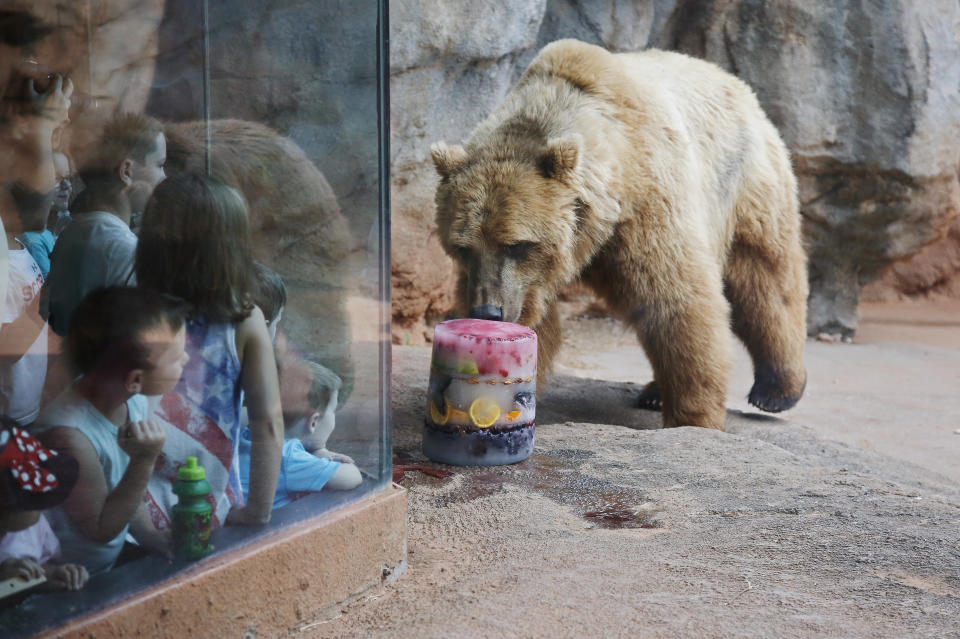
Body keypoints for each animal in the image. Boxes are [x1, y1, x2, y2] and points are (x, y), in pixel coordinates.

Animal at [432, 38, 808, 430]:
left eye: (517, 245)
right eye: (462, 247)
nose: (488, 311)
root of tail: (735, 82)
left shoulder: (648, 203)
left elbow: (676, 300)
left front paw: (693, 418)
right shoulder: (535, 277)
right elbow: (539, 321)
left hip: (744, 183)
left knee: (765, 278)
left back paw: (776, 389)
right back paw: (655, 393)